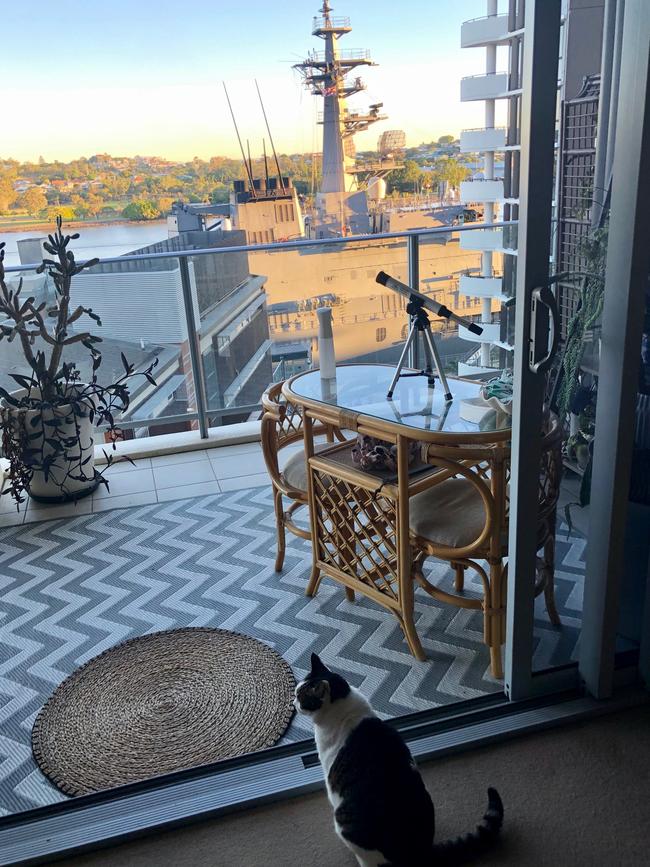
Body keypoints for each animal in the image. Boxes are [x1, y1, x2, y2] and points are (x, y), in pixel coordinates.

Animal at [294, 656, 502, 864]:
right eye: (296, 692)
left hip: (344, 824)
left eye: (301, 696)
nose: (294, 702)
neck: (344, 707)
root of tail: (421, 850)